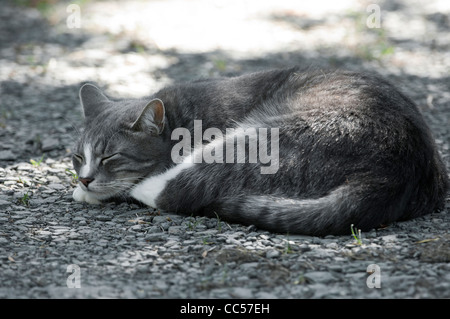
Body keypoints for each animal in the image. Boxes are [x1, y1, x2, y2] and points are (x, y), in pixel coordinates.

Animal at [72, 67, 448, 236]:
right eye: (78, 157)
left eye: (110, 157)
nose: (85, 178)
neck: (182, 117)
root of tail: (395, 170)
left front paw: (91, 191)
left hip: (256, 138)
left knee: (176, 190)